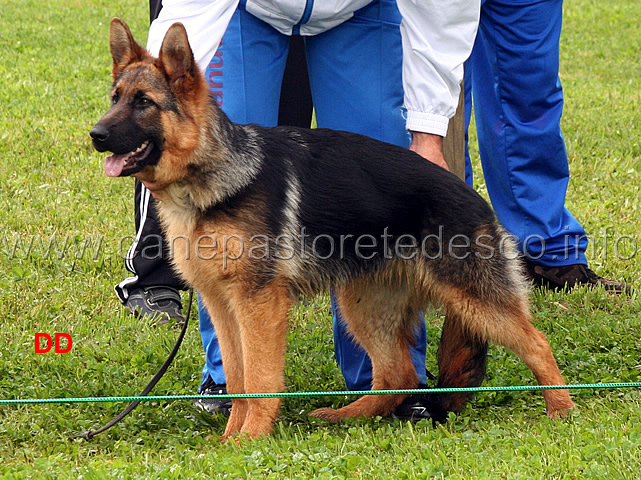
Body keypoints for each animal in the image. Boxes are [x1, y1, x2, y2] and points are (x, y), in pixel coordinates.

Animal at [90, 18, 576, 438]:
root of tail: (471, 195)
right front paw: (231, 439)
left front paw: (251, 439)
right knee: (396, 372)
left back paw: (562, 410)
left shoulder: (258, 304)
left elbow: (260, 379)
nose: (95, 134)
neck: (212, 175)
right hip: (362, 302)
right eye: (115, 98)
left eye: (144, 102)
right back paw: (346, 415)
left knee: (537, 344)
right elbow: (240, 379)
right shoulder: (223, 305)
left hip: (475, 300)